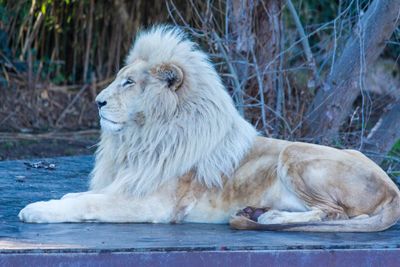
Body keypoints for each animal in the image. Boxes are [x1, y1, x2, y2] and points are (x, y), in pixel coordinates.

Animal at [19, 26, 400, 232]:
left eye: (128, 82)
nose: (97, 101)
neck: (142, 138)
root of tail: (393, 188)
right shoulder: (126, 184)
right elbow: (77, 196)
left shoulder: (154, 205)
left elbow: (86, 204)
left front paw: (36, 209)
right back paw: (254, 213)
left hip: (295, 153)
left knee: (334, 213)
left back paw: (268, 215)